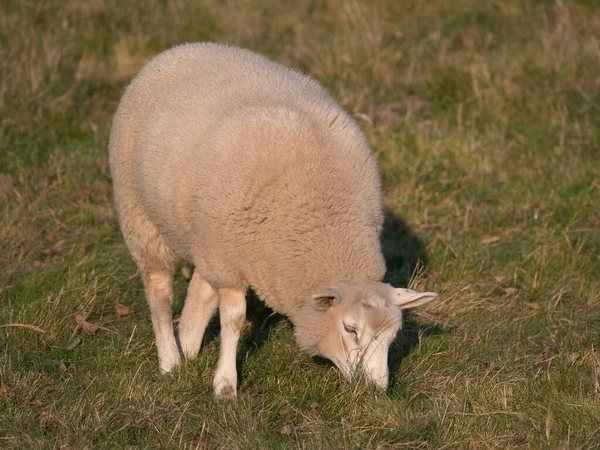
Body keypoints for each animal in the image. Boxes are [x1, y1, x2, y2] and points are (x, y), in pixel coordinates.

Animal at [109, 41, 436, 394]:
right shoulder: (229, 260)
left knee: (201, 286)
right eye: (350, 328)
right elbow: (234, 319)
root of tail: (185, 48)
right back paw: (170, 360)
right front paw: (226, 384)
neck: (323, 219)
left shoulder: (226, 253)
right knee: (159, 290)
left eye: (392, 335)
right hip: (140, 216)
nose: (375, 389)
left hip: (206, 237)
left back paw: (189, 344)